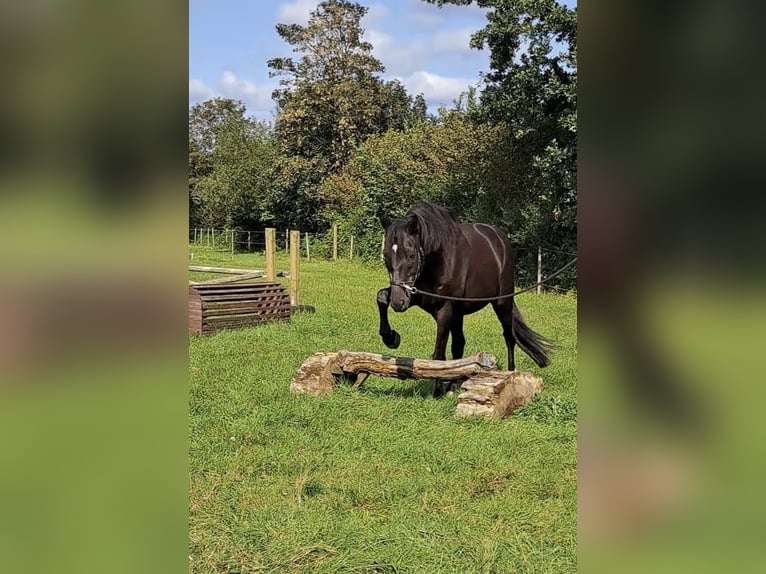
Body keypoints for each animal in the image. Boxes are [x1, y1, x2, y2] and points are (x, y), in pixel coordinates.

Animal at [378, 202, 552, 396]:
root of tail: (500, 239)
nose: (398, 302)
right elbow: (381, 296)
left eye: (411, 255)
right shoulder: (417, 296)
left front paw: (437, 391)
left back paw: (509, 373)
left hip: (502, 304)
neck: (439, 261)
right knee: (459, 344)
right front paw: (390, 337)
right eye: (386, 255)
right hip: (459, 314)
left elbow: (439, 352)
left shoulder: (445, 309)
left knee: (509, 337)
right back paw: (454, 384)